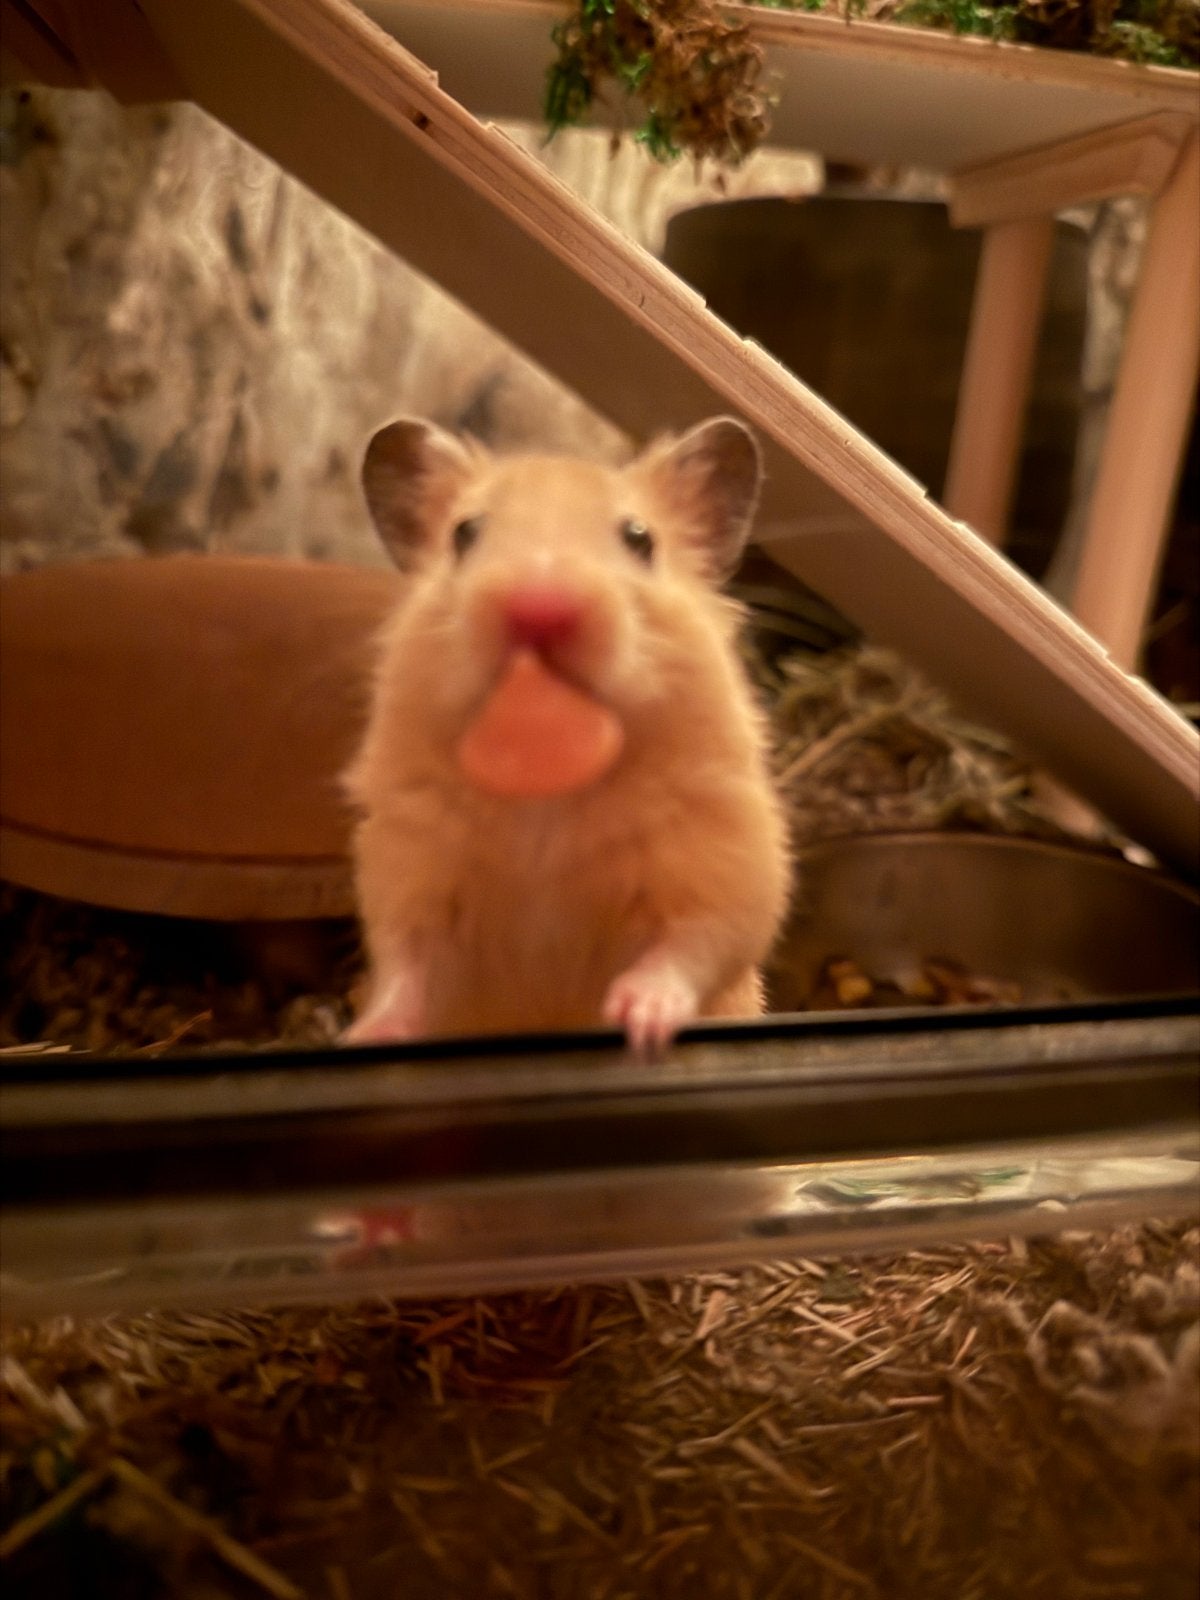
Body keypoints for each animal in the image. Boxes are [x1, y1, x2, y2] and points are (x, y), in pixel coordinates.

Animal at [342, 414, 790, 1054]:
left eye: (640, 538)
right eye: (464, 533)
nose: (539, 607)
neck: (547, 798)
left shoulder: (725, 865)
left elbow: (690, 946)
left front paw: (640, 1022)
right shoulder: (408, 872)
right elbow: (405, 964)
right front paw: (365, 1037)